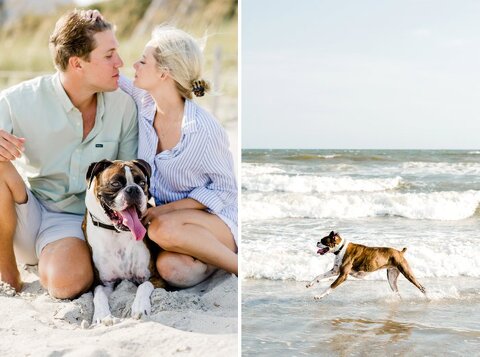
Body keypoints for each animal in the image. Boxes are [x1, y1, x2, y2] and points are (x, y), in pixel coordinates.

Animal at [83, 160, 164, 324]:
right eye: (115, 183)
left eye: (142, 183)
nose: (133, 189)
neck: (117, 233)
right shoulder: (103, 283)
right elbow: (99, 295)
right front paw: (102, 315)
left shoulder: (153, 277)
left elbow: (143, 286)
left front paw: (140, 307)